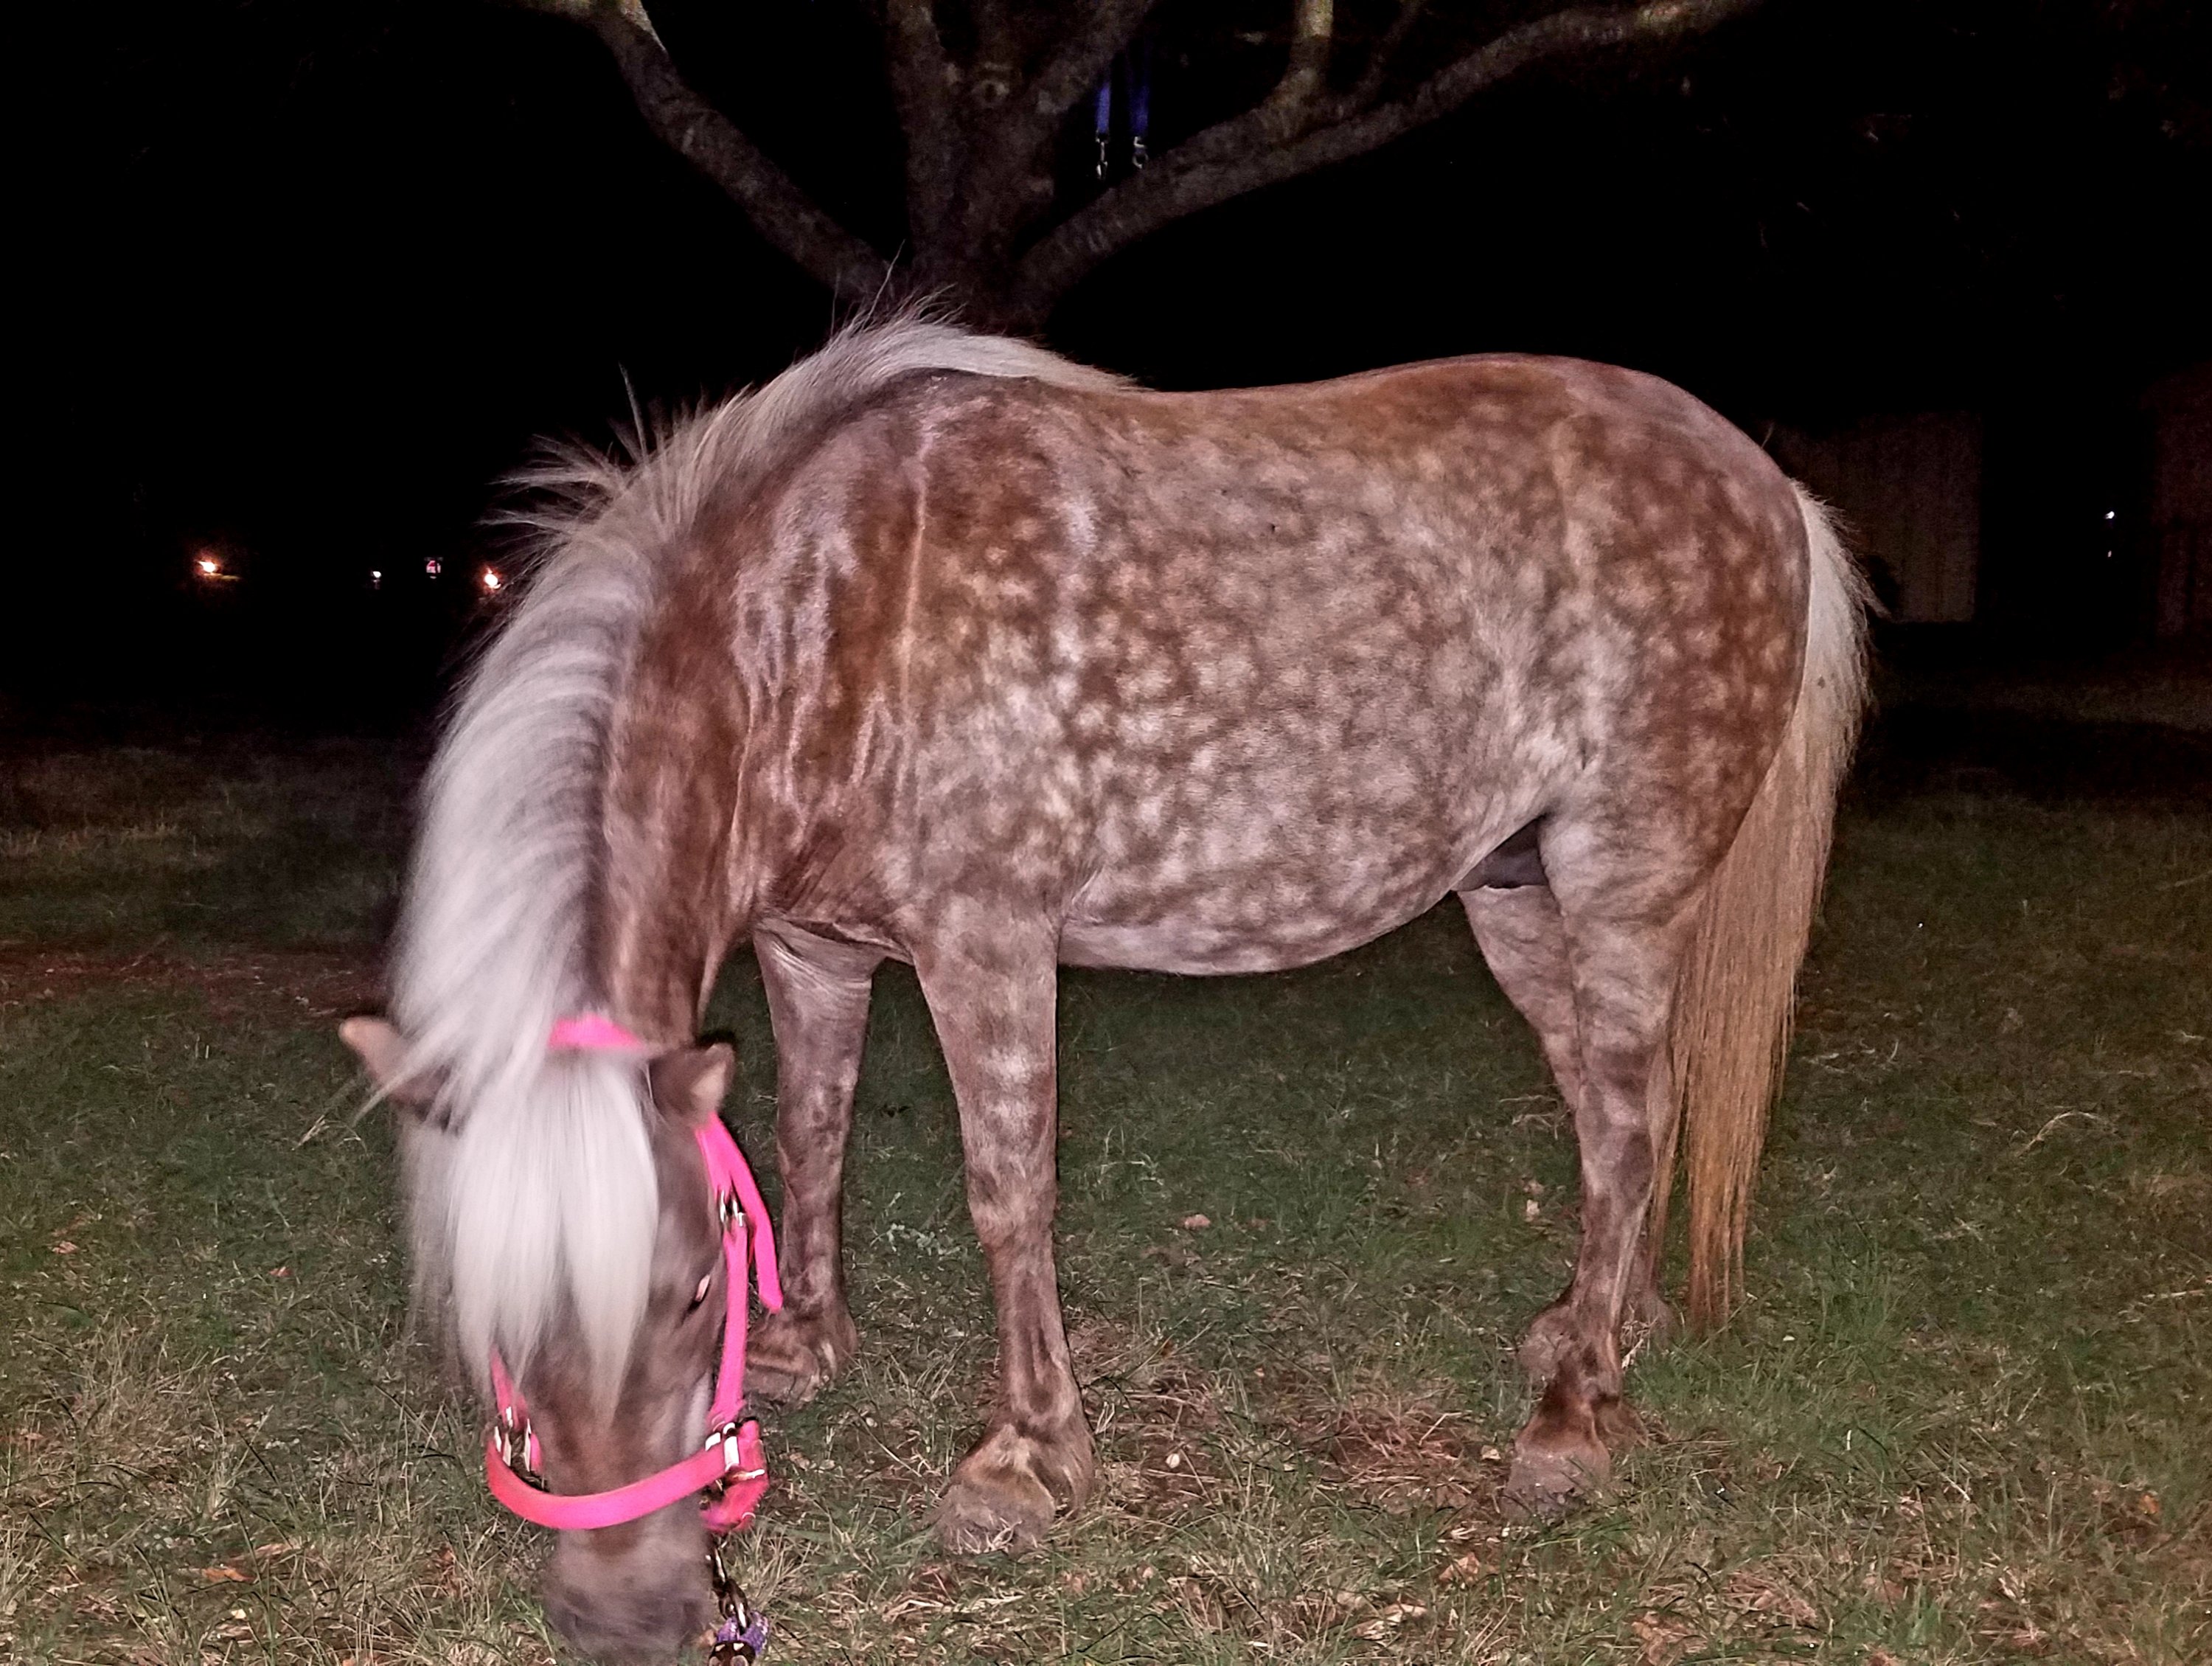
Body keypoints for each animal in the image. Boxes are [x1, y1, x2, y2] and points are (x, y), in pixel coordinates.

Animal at [341, 317, 1867, 1661]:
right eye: (492, 1315)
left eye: (687, 1292)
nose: (621, 1617)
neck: (820, 616)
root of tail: (1770, 486)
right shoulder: (812, 949)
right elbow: (808, 1132)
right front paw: (807, 1346)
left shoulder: (988, 938)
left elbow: (1008, 1190)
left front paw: (1024, 1461)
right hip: (1511, 890)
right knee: (1623, 1117)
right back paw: (1599, 1329)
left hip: (1621, 882)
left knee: (1629, 1113)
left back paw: (1570, 1419)